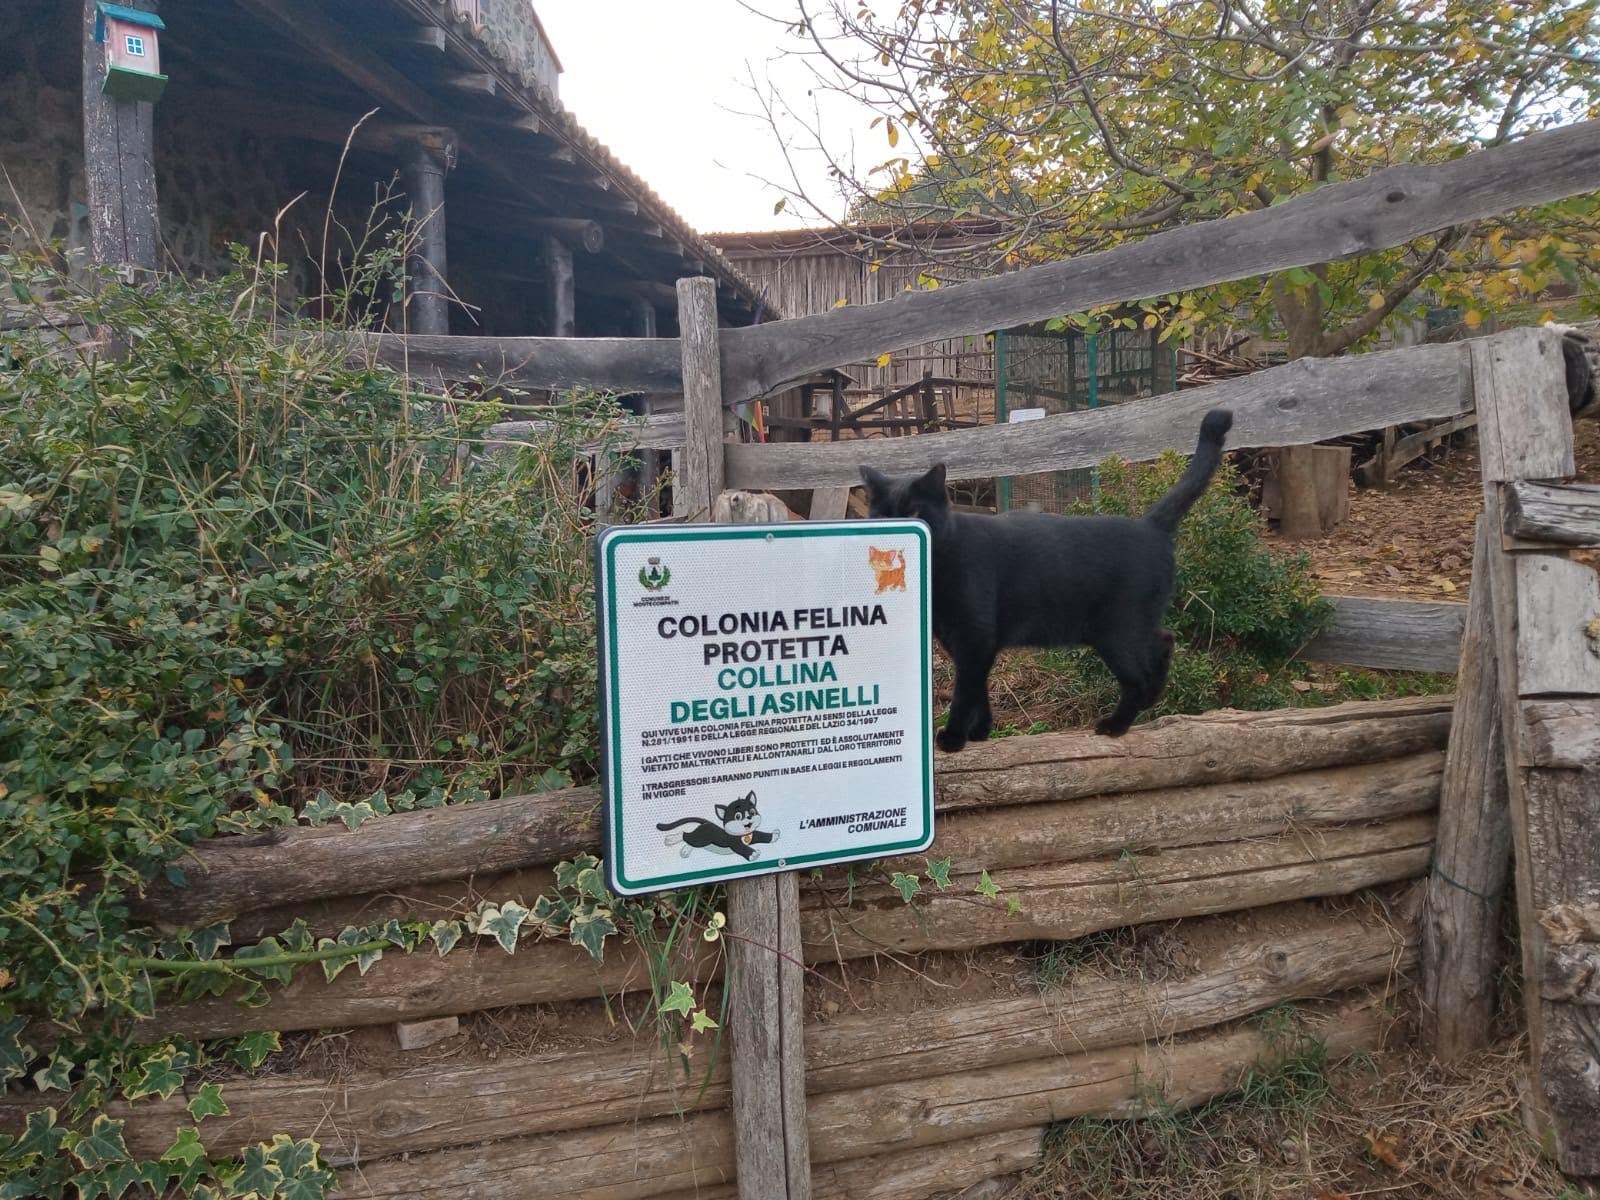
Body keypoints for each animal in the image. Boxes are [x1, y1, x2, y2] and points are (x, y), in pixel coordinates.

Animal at [870, 412, 1228, 752]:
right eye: (881, 514)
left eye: (914, 512)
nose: (891, 530)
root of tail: (1149, 525)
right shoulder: (967, 642)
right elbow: (978, 687)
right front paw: (981, 732)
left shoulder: (974, 636)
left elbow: (964, 691)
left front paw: (954, 738)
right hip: (1129, 626)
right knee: (1164, 640)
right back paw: (1150, 699)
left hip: (1116, 631)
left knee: (1140, 673)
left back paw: (1116, 724)